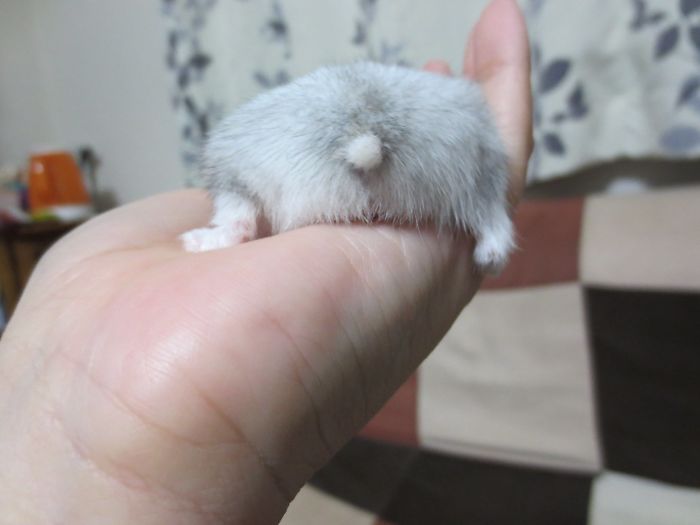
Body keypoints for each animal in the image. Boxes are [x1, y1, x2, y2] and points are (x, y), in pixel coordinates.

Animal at [181, 61, 514, 272]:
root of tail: (366, 129)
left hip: (228, 170)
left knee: (240, 225)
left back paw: (192, 241)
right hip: (478, 174)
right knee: (495, 225)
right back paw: (488, 261)